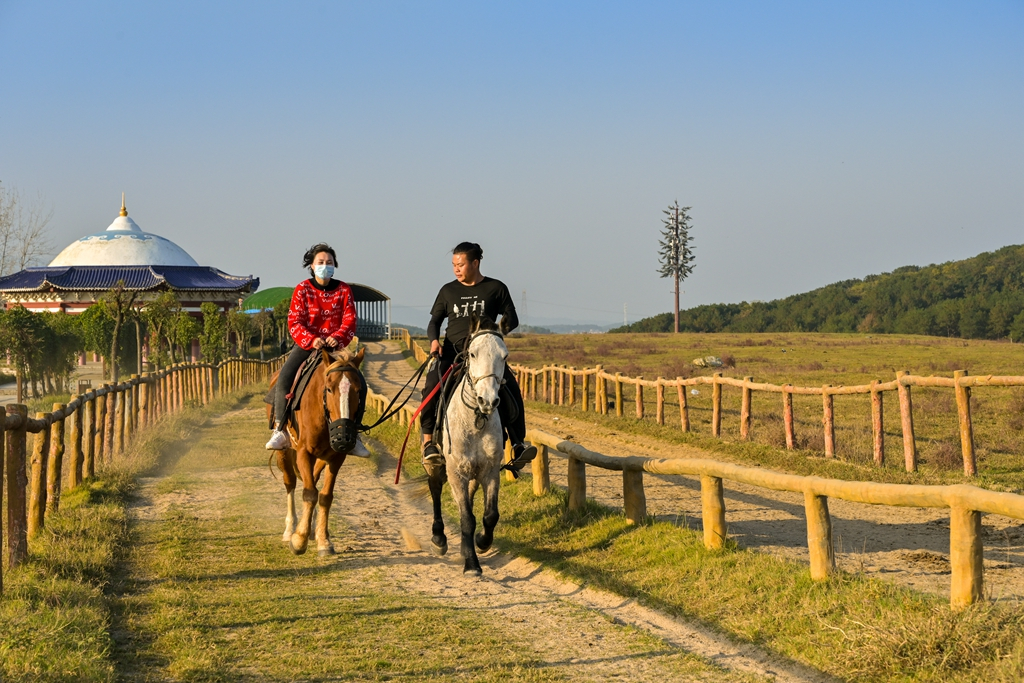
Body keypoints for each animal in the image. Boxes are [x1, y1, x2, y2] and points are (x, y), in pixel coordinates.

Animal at [266, 348, 366, 557]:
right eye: (329, 389)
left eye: (358, 390)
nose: (343, 437)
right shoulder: (304, 452)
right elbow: (310, 493)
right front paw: (299, 540)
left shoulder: (337, 457)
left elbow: (325, 496)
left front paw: (324, 540)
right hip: (285, 452)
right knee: (291, 482)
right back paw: (291, 528)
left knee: (312, 477)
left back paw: (312, 528)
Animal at [423, 317, 507, 573]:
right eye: (472, 353)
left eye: (505, 356)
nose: (487, 400)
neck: (475, 420)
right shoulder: (456, 472)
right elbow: (467, 518)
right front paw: (471, 563)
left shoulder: (490, 471)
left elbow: (490, 515)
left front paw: (482, 542)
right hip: (439, 464)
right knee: (435, 489)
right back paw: (439, 538)